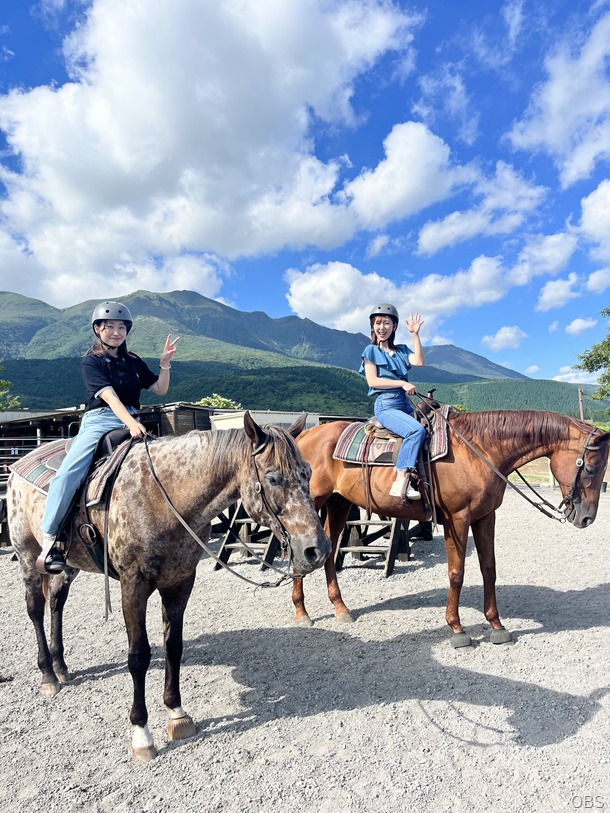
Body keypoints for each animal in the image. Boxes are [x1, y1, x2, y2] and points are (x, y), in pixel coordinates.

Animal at [5, 412, 328, 760]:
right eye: (273, 478)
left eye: (308, 473)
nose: (317, 549)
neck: (163, 497)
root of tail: (18, 463)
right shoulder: (133, 585)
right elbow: (139, 655)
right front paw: (141, 733)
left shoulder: (180, 581)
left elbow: (174, 645)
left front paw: (177, 714)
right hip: (28, 557)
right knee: (36, 609)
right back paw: (48, 675)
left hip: (68, 565)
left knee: (57, 602)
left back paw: (61, 666)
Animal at [292, 410, 604, 644]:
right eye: (590, 468)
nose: (587, 518)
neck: (479, 450)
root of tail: (305, 435)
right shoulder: (457, 518)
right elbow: (457, 573)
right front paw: (457, 629)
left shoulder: (485, 516)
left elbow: (489, 569)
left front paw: (496, 625)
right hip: (310, 504)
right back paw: (301, 612)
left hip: (338, 503)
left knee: (328, 551)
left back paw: (341, 608)